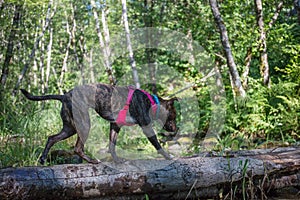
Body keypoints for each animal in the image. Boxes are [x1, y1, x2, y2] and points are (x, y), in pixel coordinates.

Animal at [20, 83, 178, 164]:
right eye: (174, 116)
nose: (176, 129)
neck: (152, 103)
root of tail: (64, 96)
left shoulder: (115, 126)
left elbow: (112, 146)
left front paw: (117, 160)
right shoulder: (146, 127)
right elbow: (157, 144)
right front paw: (168, 156)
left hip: (70, 128)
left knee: (52, 138)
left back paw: (43, 159)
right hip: (84, 124)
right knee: (77, 148)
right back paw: (91, 161)